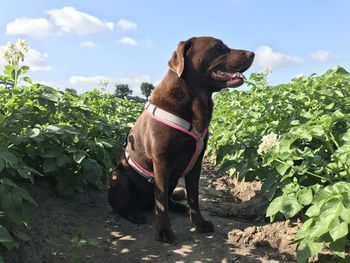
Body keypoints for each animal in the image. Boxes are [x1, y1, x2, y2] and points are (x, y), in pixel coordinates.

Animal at [107, 36, 254, 243]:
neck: (196, 102)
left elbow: (193, 196)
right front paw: (163, 231)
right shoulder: (161, 162)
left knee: (166, 201)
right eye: (218, 47)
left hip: (173, 180)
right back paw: (133, 214)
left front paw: (199, 223)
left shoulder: (197, 162)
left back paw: (179, 207)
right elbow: (160, 203)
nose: (252, 53)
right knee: (122, 206)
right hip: (120, 177)